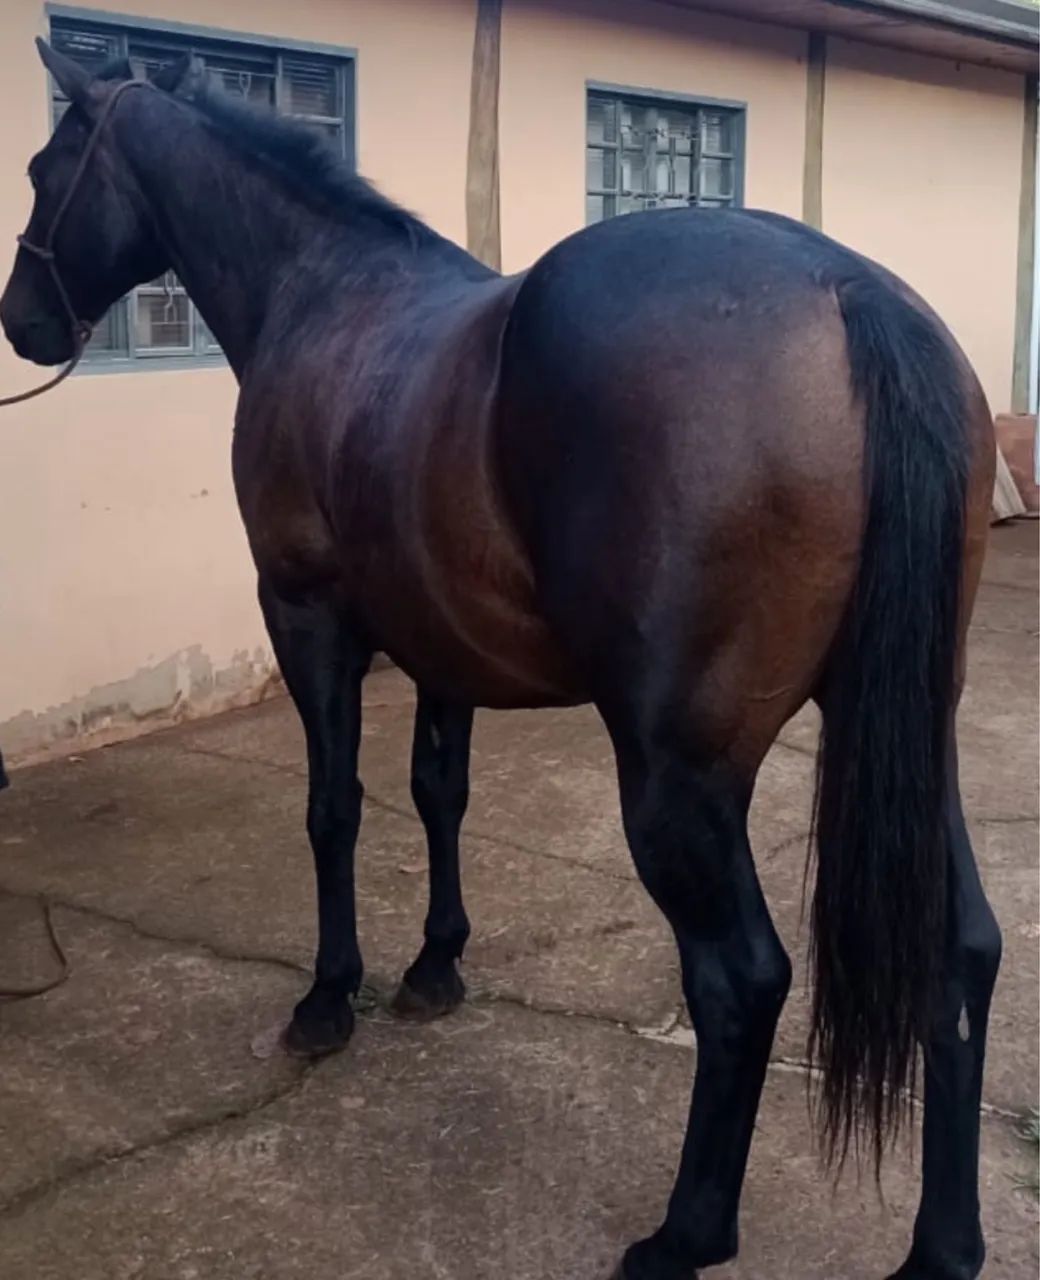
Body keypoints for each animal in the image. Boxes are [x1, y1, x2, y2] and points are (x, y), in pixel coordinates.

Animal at [1, 40, 1000, 1280]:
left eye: (44, 168)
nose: (24, 319)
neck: (324, 299)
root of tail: (845, 291)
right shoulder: (439, 646)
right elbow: (440, 793)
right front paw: (435, 965)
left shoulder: (307, 616)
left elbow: (334, 806)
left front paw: (329, 995)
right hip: (910, 731)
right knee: (959, 949)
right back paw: (939, 1245)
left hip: (678, 778)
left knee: (739, 981)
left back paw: (681, 1233)